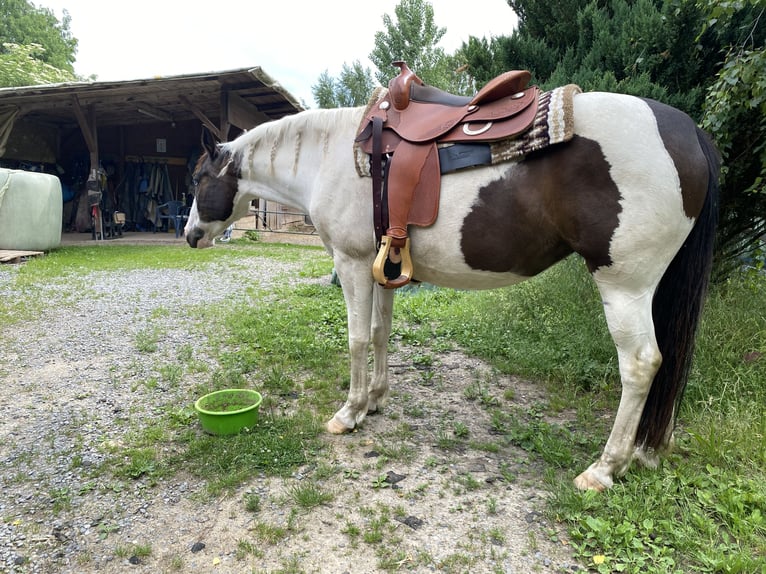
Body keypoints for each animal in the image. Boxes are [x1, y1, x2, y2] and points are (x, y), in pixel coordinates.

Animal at [184, 87, 719, 491]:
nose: (190, 235)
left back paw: (604, 469)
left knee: (641, 364)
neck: (332, 155)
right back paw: (645, 452)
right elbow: (380, 335)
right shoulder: (384, 269)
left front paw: (350, 412)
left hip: (625, 286)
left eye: (197, 178)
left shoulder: (353, 265)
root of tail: (687, 130)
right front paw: (375, 399)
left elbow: (356, 340)